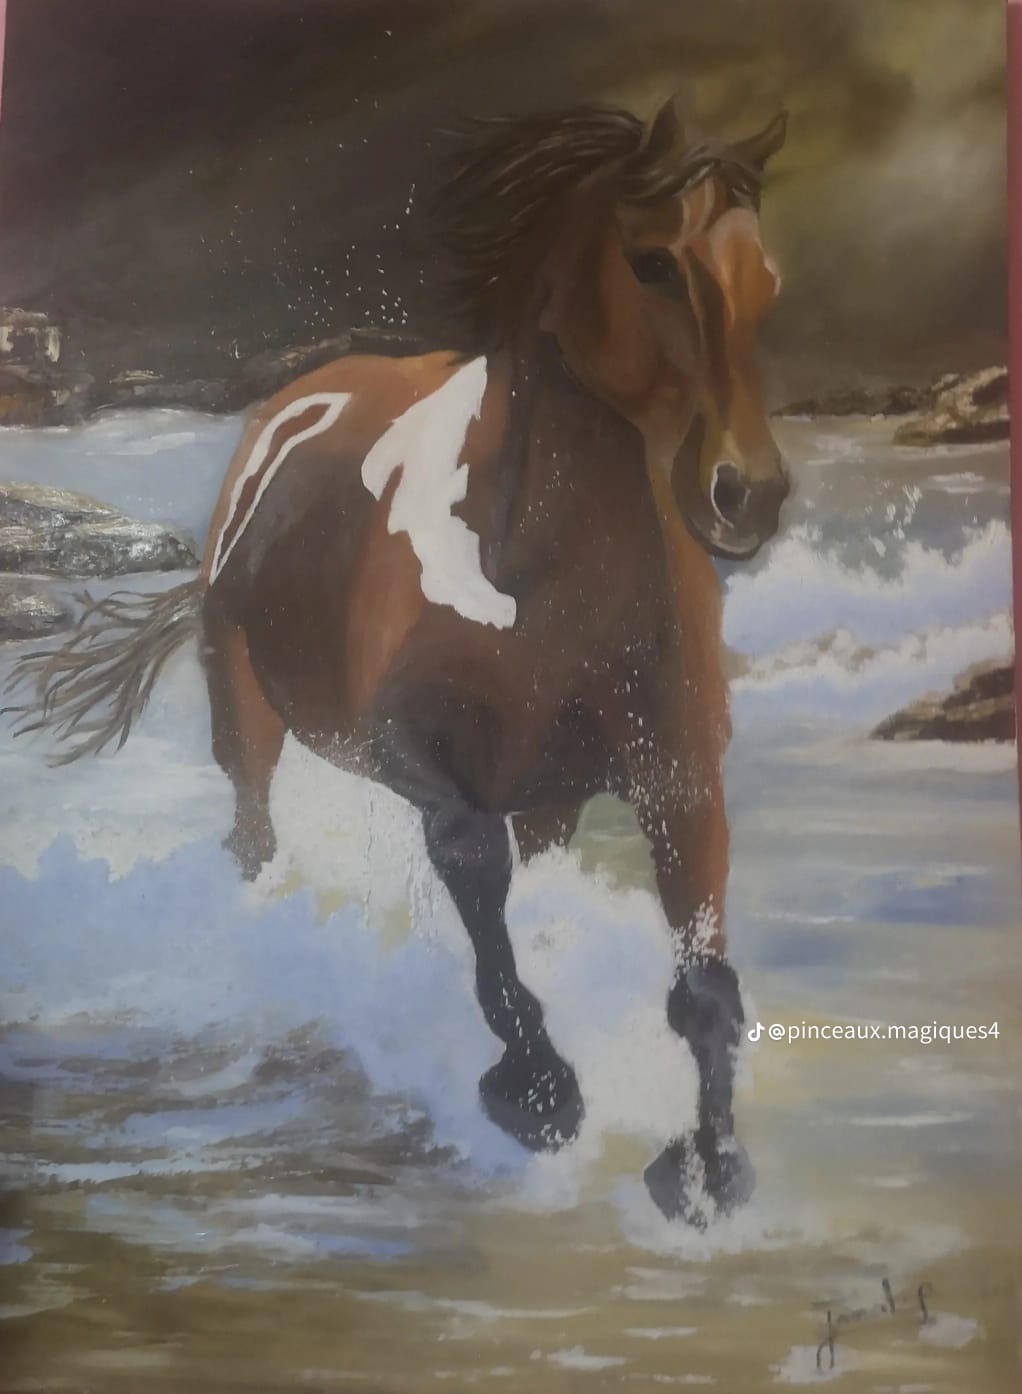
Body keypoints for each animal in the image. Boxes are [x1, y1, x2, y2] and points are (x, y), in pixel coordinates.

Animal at [6, 97, 790, 1224]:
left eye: (765, 278)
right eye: (651, 262)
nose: (746, 494)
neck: (537, 572)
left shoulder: (678, 777)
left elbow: (705, 990)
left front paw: (706, 1172)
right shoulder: (423, 763)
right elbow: (483, 903)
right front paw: (537, 1093)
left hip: (551, 795)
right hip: (247, 718)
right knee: (253, 838)